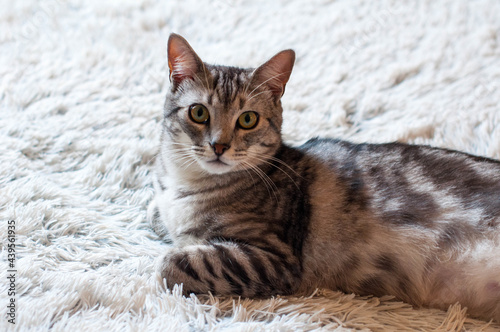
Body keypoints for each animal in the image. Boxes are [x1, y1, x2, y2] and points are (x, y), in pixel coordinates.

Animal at [147, 33, 500, 322]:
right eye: (198, 113)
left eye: (248, 119)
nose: (219, 146)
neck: (187, 184)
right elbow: (154, 213)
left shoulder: (275, 259)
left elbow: (170, 263)